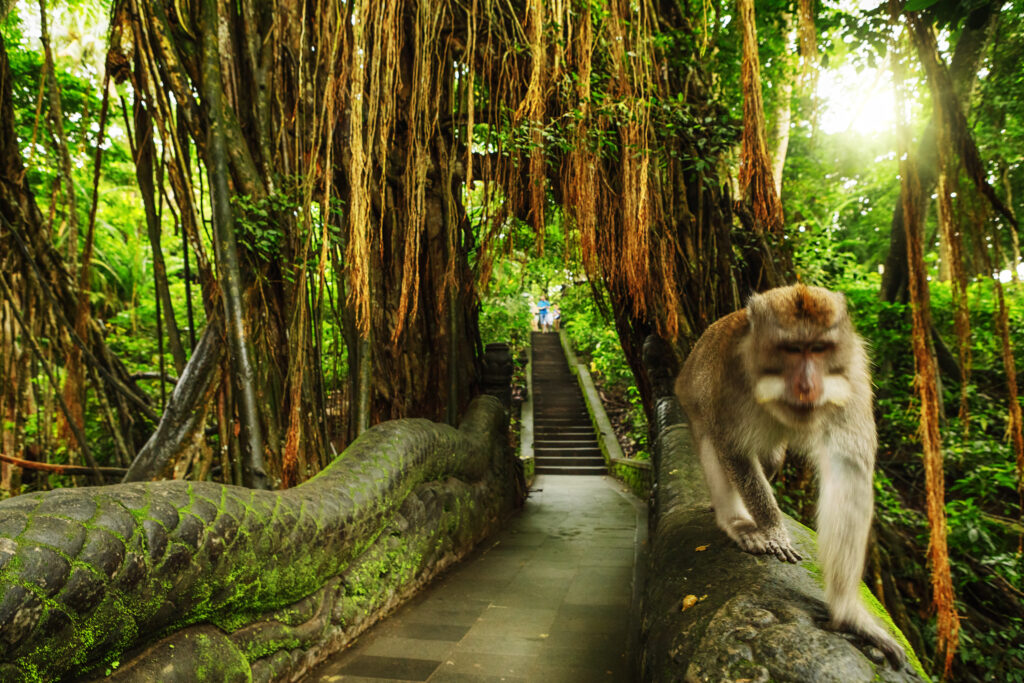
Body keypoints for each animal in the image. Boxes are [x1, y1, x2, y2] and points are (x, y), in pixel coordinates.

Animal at [679, 282, 905, 667]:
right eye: (791, 349)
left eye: (819, 348)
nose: (807, 385)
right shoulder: (729, 377)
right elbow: (733, 449)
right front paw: (771, 529)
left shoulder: (853, 375)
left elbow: (848, 470)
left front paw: (848, 613)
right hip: (693, 403)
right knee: (713, 442)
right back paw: (735, 521)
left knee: (769, 460)